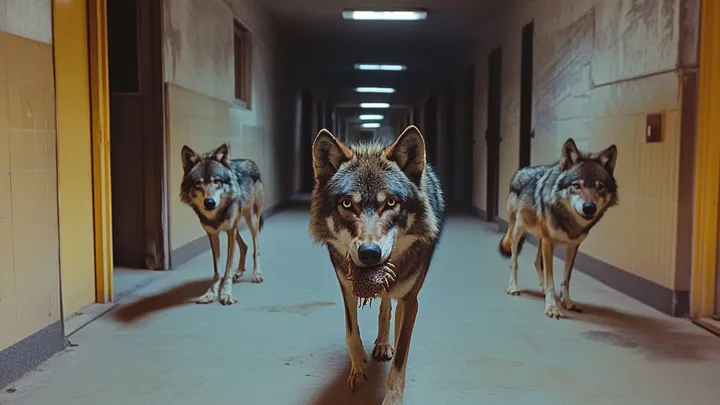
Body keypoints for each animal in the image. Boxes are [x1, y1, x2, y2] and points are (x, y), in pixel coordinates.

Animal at [180, 143, 265, 306]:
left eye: (217, 181)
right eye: (198, 183)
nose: (209, 202)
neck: (215, 216)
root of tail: (248, 161)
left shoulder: (231, 230)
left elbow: (227, 268)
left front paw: (226, 294)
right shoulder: (213, 235)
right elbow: (218, 270)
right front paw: (211, 293)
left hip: (251, 221)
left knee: (256, 248)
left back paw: (256, 274)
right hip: (234, 228)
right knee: (244, 246)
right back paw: (239, 271)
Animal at [309, 125, 445, 405]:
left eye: (390, 202)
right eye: (347, 203)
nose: (370, 253)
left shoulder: (410, 300)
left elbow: (400, 359)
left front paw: (392, 397)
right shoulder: (346, 286)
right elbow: (351, 332)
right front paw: (358, 369)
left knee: (387, 308)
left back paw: (384, 344)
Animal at [498, 138, 618, 319]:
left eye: (600, 187)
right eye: (576, 185)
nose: (589, 207)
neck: (569, 220)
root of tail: (521, 170)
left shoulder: (572, 246)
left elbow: (565, 280)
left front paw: (566, 302)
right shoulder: (548, 242)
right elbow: (550, 279)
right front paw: (552, 307)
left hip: (543, 239)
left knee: (536, 262)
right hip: (518, 232)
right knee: (514, 261)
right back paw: (513, 287)